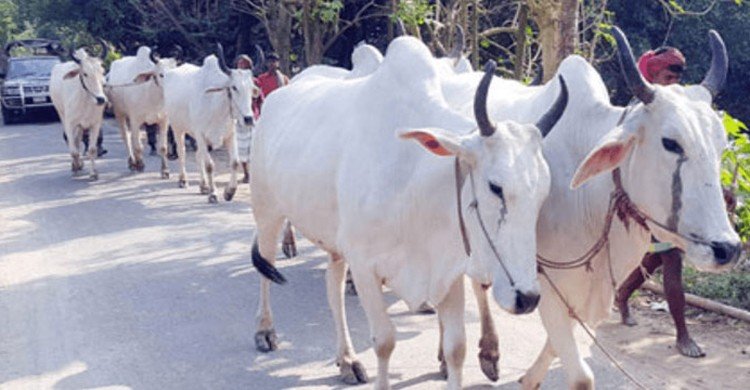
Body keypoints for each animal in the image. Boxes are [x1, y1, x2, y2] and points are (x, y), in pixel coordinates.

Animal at [49, 46, 108, 180]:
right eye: (85, 74)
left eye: (102, 71)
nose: (101, 99)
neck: (85, 100)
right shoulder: (70, 124)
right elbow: (74, 150)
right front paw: (75, 166)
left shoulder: (95, 124)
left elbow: (92, 149)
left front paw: (93, 173)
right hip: (61, 114)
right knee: (71, 141)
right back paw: (76, 165)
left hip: (80, 126)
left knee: (77, 140)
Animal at [106, 44, 178, 177]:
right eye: (161, 74)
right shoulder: (135, 120)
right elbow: (138, 146)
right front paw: (140, 164)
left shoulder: (164, 121)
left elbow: (163, 147)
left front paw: (165, 170)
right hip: (120, 114)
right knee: (127, 138)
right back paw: (132, 162)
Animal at [164, 45, 258, 204]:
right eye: (234, 87)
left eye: (251, 88)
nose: (248, 119)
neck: (216, 106)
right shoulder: (200, 135)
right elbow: (209, 165)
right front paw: (213, 193)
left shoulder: (230, 135)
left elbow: (234, 162)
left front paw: (229, 192)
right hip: (177, 128)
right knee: (182, 152)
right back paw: (183, 180)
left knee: (198, 155)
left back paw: (203, 186)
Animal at [250, 35, 568, 388]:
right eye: (495, 186)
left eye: (542, 193)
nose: (527, 298)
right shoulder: (365, 266)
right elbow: (385, 341)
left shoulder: (447, 272)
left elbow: (457, 348)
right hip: (266, 210)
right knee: (266, 266)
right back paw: (265, 331)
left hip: (333, 242)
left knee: (333, 289)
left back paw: (347, 359)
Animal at [440, 26, 740, 386]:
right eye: (671, 143)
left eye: (721, 146)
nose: (728, 249)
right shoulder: (544, 284)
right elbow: (580, 375)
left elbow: (556, 348)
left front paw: (528, 380)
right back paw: (476, 354)